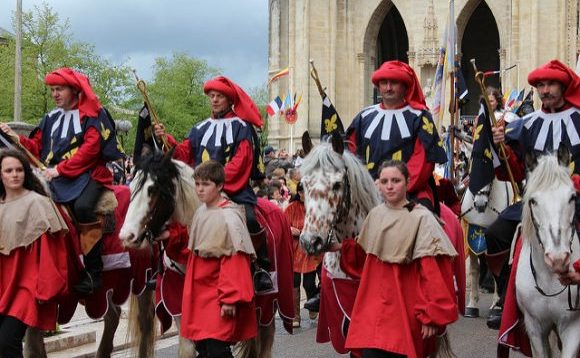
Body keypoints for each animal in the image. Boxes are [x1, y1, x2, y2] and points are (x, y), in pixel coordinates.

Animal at [462, 178, 512, 316]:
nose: (480, 204)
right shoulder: (471, 235)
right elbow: (474, 269)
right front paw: (472, 305)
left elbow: (498, 268)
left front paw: (496, 306)